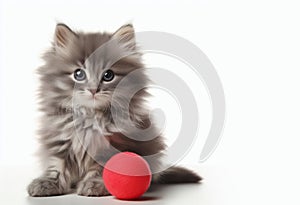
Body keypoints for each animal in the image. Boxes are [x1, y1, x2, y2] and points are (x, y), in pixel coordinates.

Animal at [28, 23, 202, 196]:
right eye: (78, 74)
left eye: (108, 75)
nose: (93, 90)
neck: (90, 117)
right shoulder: (59, 141)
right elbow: (56, 166)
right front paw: (47, 183)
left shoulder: (113, 146)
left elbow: (101, 169)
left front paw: (95, 184)